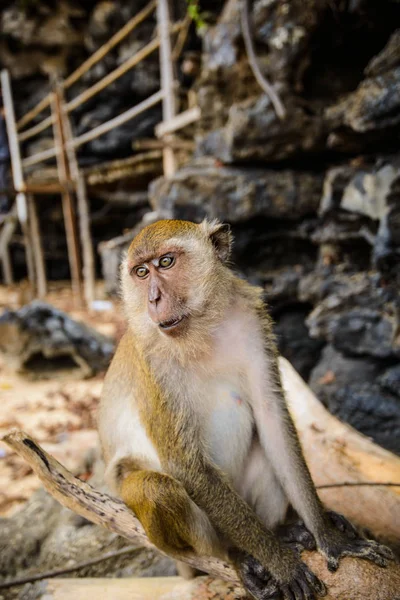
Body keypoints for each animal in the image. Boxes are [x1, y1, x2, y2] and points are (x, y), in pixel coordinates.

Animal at [98, 219, 396, 600]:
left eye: (165, 262)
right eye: (140, 272)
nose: (153, 299)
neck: (201, 331)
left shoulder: (252, 322)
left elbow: (273, 421)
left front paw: (328, 534)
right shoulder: (151, 362)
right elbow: (186, 465)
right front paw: (280, 563)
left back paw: (282, 530)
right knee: (155, 488)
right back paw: (237, 553)